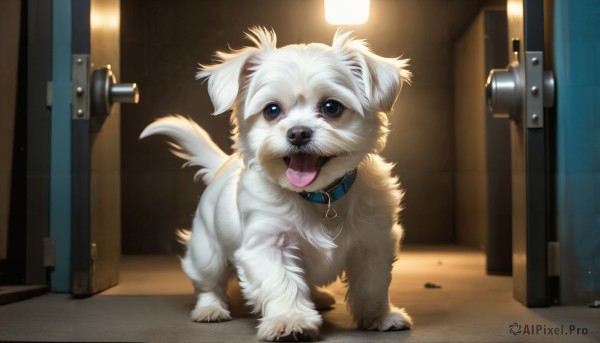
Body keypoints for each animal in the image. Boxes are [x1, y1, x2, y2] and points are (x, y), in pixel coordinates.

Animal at [141, 26, 412, 342]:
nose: (298, 133)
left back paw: (318, 297)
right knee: (208, 282)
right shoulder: (267, 244)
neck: (319, 196)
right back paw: (210, 309)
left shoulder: (374, 241)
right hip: (206, 252)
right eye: (272, 110)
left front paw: (379, 316)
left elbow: (373, 283)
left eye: (331, 107)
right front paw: (291, 320)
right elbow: (283, 283)